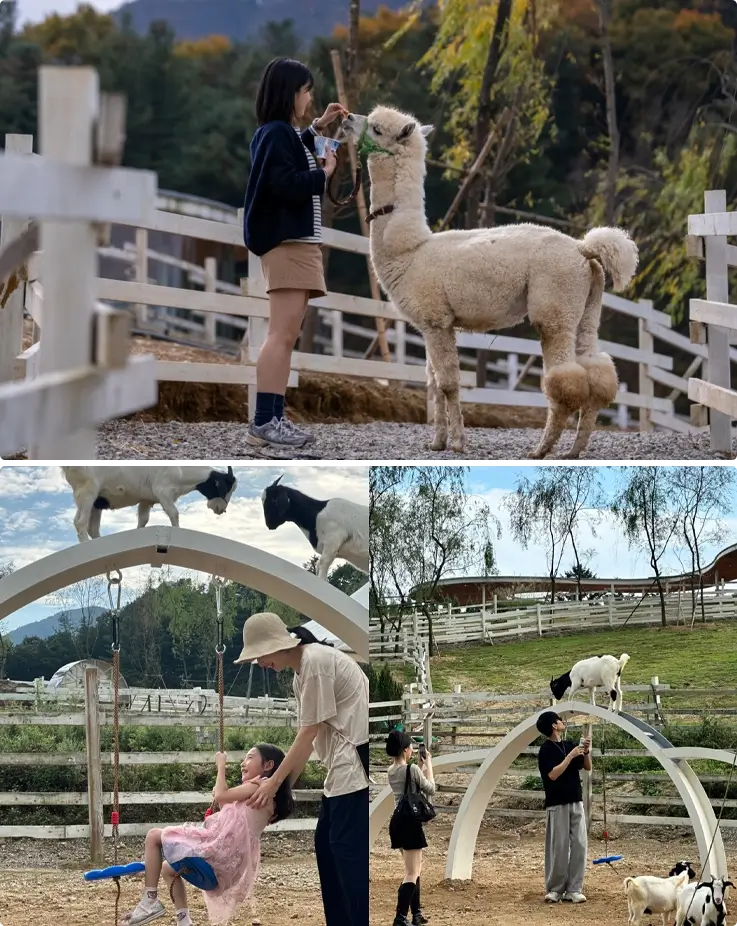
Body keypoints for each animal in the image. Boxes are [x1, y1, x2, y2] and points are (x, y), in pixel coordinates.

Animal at [62, 464, 237, 542]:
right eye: (224, 488)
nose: (221, 509)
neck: (181, 471)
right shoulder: (162, 492)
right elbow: (174, 513)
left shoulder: (147, 500)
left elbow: (143, 520)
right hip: (87, 490)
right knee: (80, 522)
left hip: (97, 501)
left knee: (92, 528)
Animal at [338, 107, 638, 459]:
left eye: (376, 128)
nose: (346, 118)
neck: (411, 249)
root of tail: (582, 249)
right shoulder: (430, 324)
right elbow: (433, 383)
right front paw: (437, 442)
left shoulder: (437, 321)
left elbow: (448, 384)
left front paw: (458, 443)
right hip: (586, 311)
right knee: (596, 372)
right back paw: (573, 450)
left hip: (555, 306)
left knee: (566, 378)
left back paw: (541, 450)